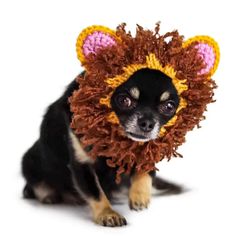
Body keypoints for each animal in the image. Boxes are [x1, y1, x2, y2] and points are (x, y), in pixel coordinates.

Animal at [21, 67, 183, 227]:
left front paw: (139, 196)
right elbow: (96, 192)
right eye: (124, 100)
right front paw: (108, 214)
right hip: (30, 162)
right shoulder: (82, 164)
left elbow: (144, 172)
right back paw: (48, 195)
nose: (148, 123)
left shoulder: (146, 154)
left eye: (169, 107)